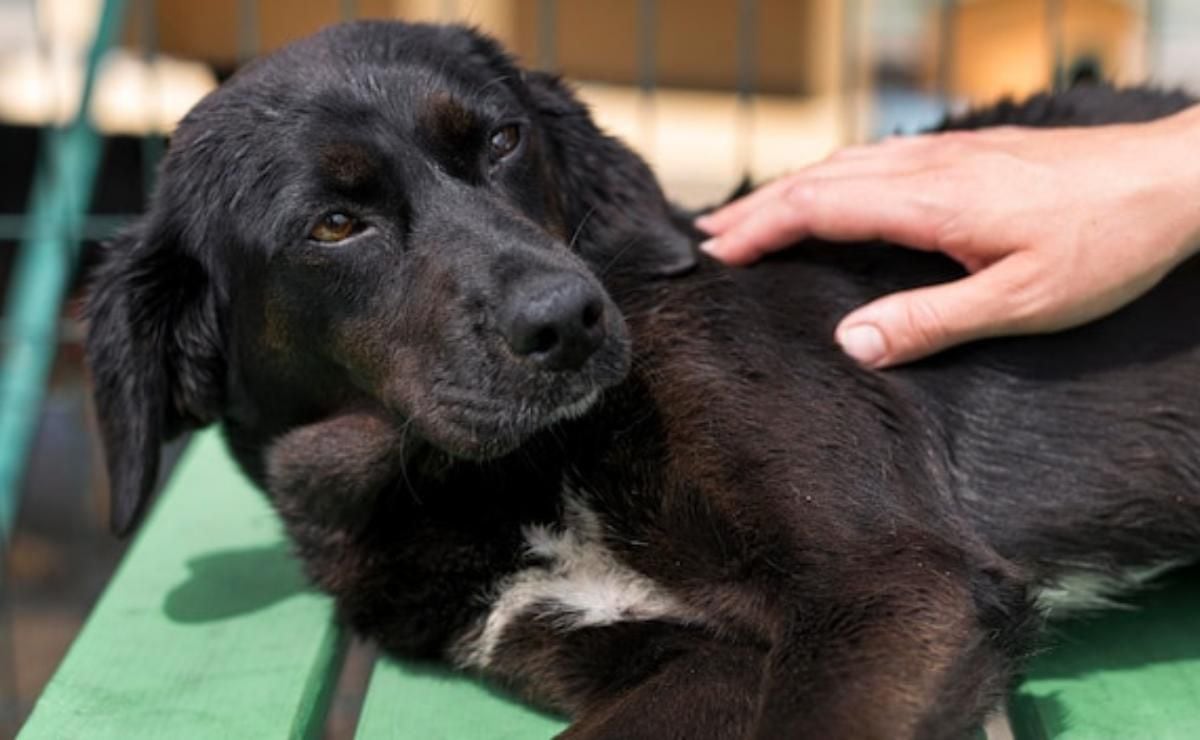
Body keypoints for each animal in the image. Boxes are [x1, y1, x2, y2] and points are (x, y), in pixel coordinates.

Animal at [87, 20, 1200, 734]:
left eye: (503, 138)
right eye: (333, 224)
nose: (567, 320)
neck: (504, 480)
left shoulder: (890, 584)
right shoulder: (686, 660)